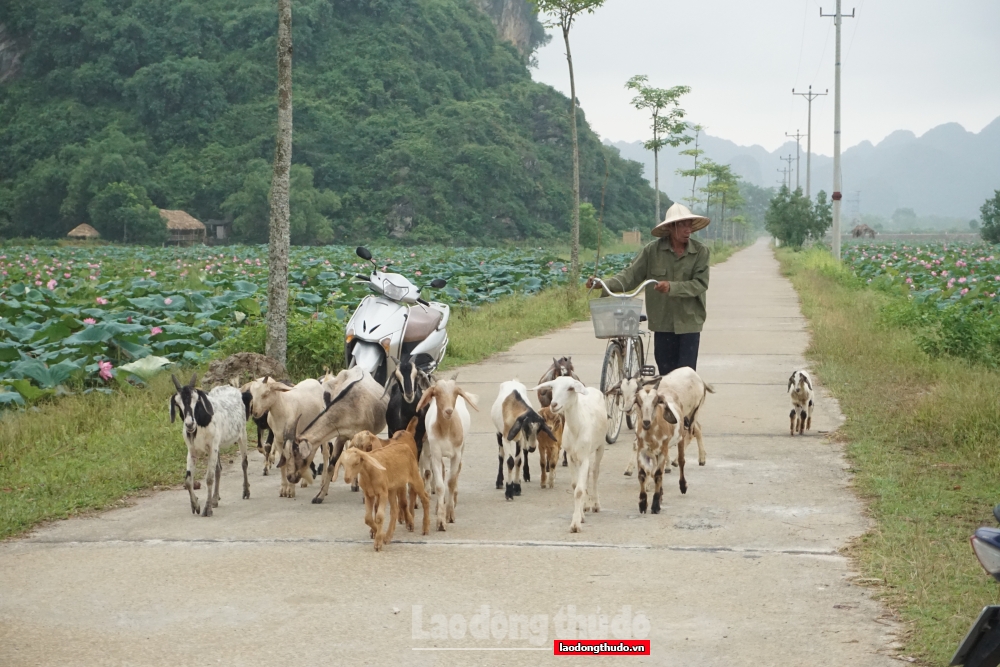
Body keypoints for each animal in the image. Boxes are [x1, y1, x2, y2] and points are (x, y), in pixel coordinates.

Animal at [171, 374, 252, 520]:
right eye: (178, 403)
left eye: (196, 400)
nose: (189, 424)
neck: (201, 422)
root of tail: (233, 388)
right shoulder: (192, 450)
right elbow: (188, 480)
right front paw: (196, 505)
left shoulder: (213, 446)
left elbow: (209, 478)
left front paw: (206, 509)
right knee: (219, 469)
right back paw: (215, 499)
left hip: (242, 434)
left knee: (244, 463)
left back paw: (246, 491)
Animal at [414, 380, 476, 532]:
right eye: (436, 393)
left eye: (455, 393)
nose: (448, 411)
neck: (447, 430)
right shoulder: (435, 454)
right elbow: (440, 485)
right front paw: (441, 521)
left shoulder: (456, 455)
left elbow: (451, 482)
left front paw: (450, 514)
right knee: (441, 472)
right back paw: (438, 507)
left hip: (462, 447)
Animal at [528, 378, 604, 536]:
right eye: (552, 387)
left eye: (570, 388)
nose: (554, 404)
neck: (577, 428)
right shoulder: (570, 456)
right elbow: (576, 486)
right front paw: (580, 515)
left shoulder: (585, 456)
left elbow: (579, 490)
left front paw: (575, 524)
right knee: (587, 477)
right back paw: (586, 506)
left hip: (600, 446)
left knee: (594, 473)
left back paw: (596, 504)